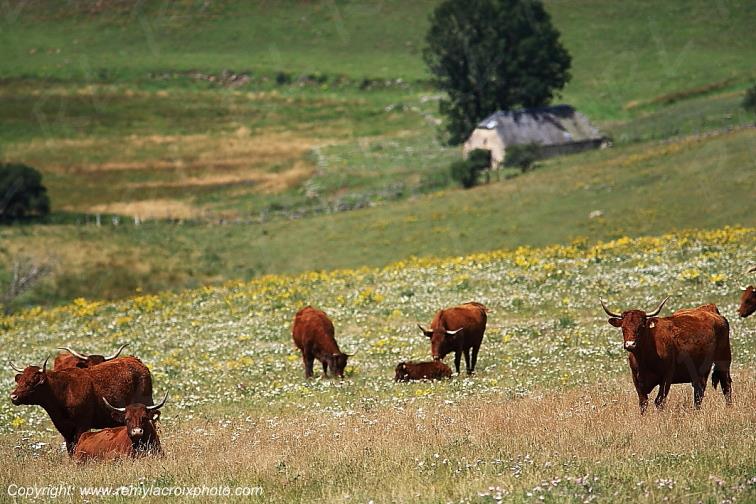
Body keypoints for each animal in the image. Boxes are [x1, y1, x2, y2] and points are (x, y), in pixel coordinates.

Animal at [9, 355, 154, 453]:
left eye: (31, 382)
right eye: (20, 380)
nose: (13, 396)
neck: (64, 391)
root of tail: (135, 361)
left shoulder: (82, 425)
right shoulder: (64, 428)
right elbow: (70, 448)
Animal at [601, 297, 732, 414]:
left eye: (641, 326)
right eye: (623, 327)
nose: (630, 344)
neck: (644, 359)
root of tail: (710, 309)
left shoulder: (666, 376)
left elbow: (659, 401)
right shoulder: (636, 378)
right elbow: (643, 402)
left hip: (723, 360)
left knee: (726, 385)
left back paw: (728, 408)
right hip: (700, 371)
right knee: (699, 392)